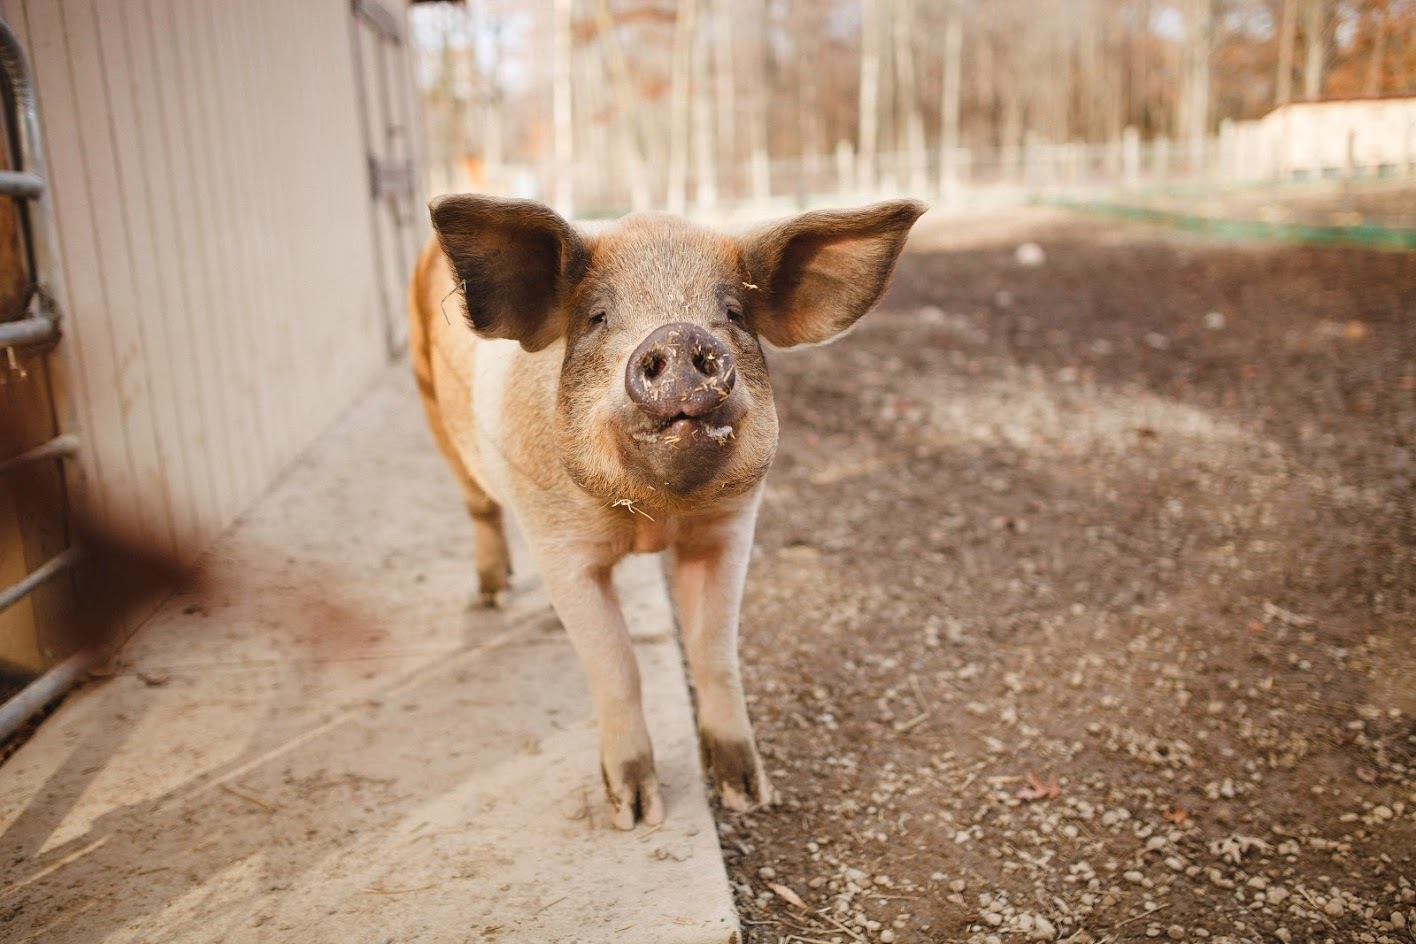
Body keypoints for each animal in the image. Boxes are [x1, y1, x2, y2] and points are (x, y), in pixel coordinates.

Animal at [408, 195, 925, 829]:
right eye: (598, 317)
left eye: (733, 313)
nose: (679, 336)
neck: (652, 521)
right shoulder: (560, 547)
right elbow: (616, 667)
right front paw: (636, 815)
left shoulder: (728, 532)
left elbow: (714, 653)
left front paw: (750, 796)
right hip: (435, 415)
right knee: (479, 507)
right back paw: (492, 595)